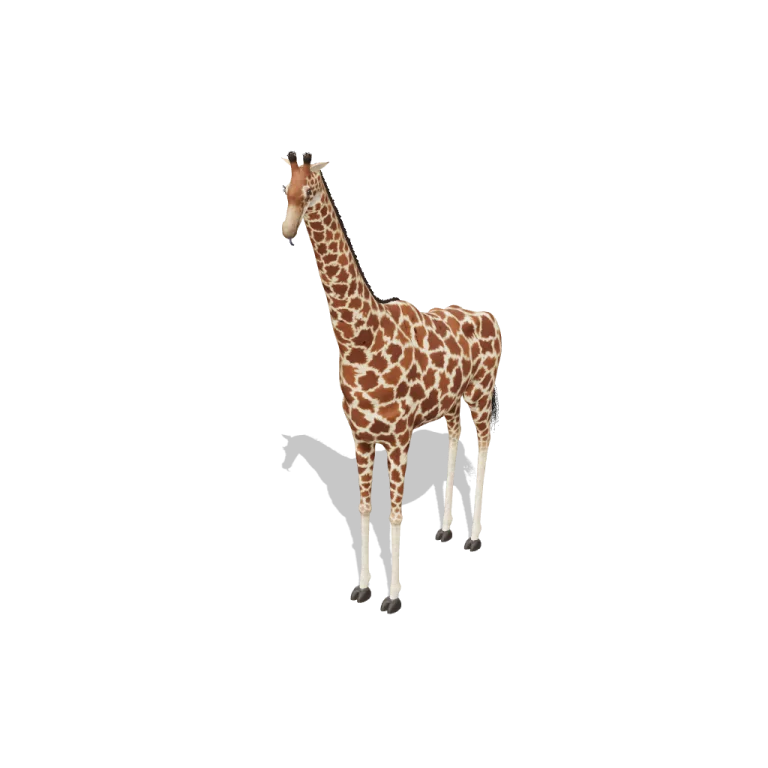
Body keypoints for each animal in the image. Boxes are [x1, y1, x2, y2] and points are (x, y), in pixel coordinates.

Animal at [280, 152, 503, 613]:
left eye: (309, 189)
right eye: (285, 187)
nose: (288, 229)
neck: (359, 339)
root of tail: (491, 317)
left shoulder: (398, 438)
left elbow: (395, 512)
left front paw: (394, 596)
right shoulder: (361, 439)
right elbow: (365, 507)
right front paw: (363, 586)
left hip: (482, 394)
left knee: (484, 445)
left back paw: (475, 536)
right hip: (451, 403)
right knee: (455, 436)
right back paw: (446, 527)